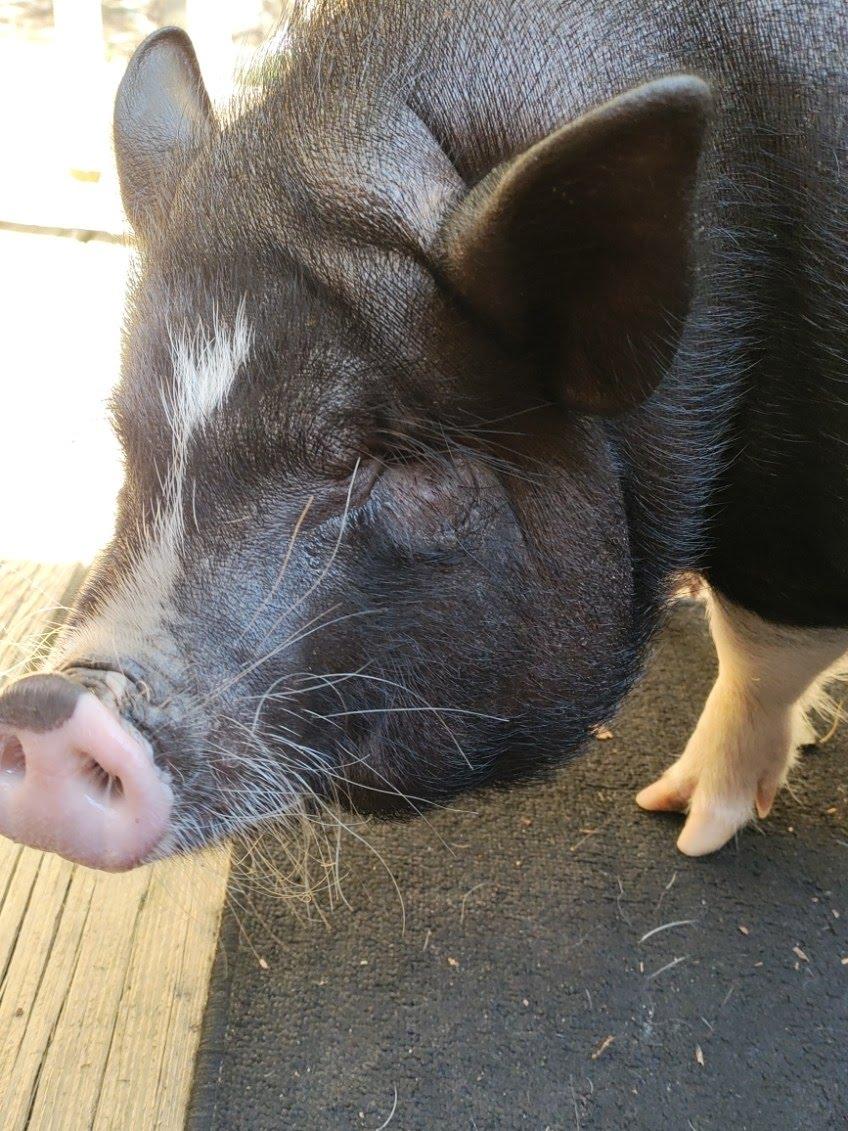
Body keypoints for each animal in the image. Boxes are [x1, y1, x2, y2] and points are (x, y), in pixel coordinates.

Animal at [0, 0, 846, 872]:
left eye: (363, 455)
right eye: (126, 435)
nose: (49, 699)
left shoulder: (801, 509)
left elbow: (761, 650)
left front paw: (681, 826)